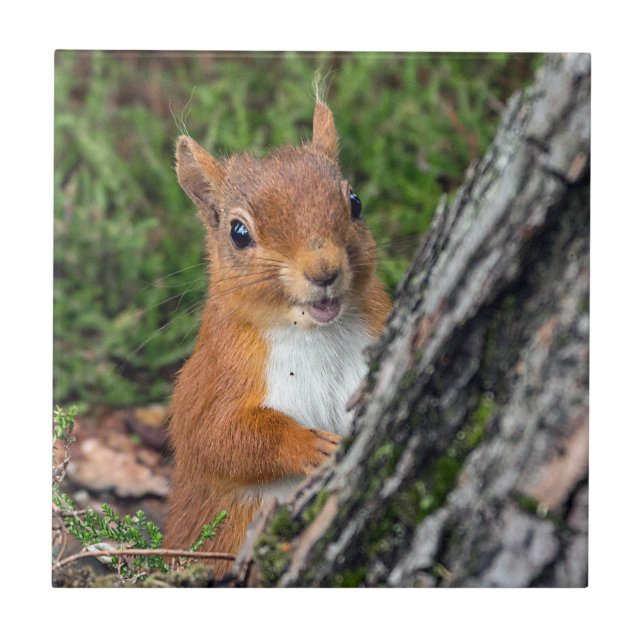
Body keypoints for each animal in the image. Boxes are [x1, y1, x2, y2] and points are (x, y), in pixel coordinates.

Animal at [163, 98, 391, 577]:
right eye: (238, 232)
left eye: (355, 202)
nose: (324, 271)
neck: (313, 333)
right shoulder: (214, 376)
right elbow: (214, 438)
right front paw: (309, 445)